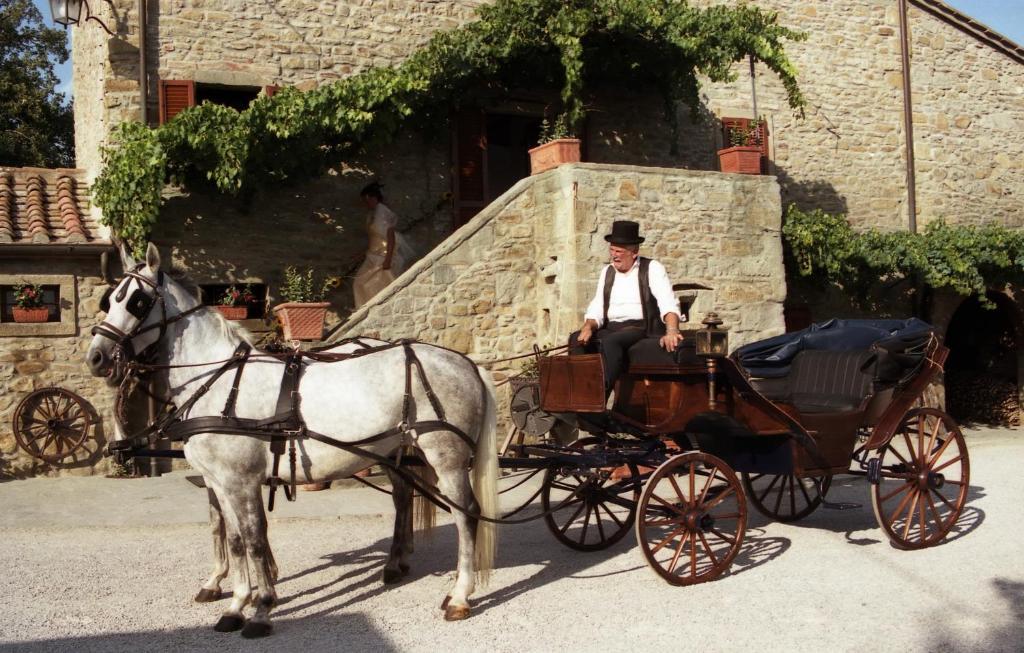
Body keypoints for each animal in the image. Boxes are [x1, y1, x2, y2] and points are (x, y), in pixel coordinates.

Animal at [87, 245, 499, 638]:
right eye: (110, 300)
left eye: (137, 301)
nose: (97, 356)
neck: (220, 381)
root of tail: (467, 363)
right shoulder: (220, 482)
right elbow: (234, 540)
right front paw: (235, 605)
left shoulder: (241, 481)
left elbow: (254, 541)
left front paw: (261, 608)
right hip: (395, 451)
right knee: (406, 498)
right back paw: (400, 567)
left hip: (446, 458)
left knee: (466, 514)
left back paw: (459, 596)